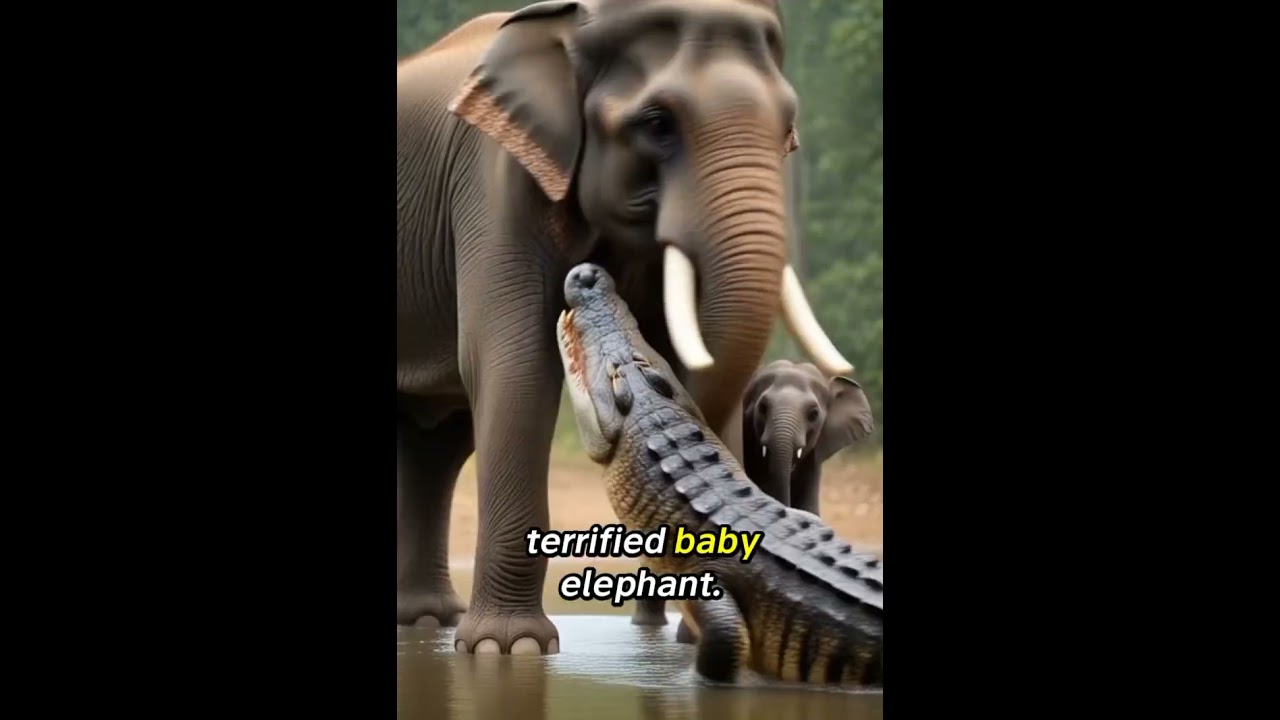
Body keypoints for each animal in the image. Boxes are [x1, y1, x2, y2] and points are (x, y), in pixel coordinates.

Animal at [395, 0, 852, 656]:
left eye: (787, 127)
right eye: (658, 123)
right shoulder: (492, 180)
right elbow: (513, 362)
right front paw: (510, 650)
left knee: (439, 439)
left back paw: (428, 619)